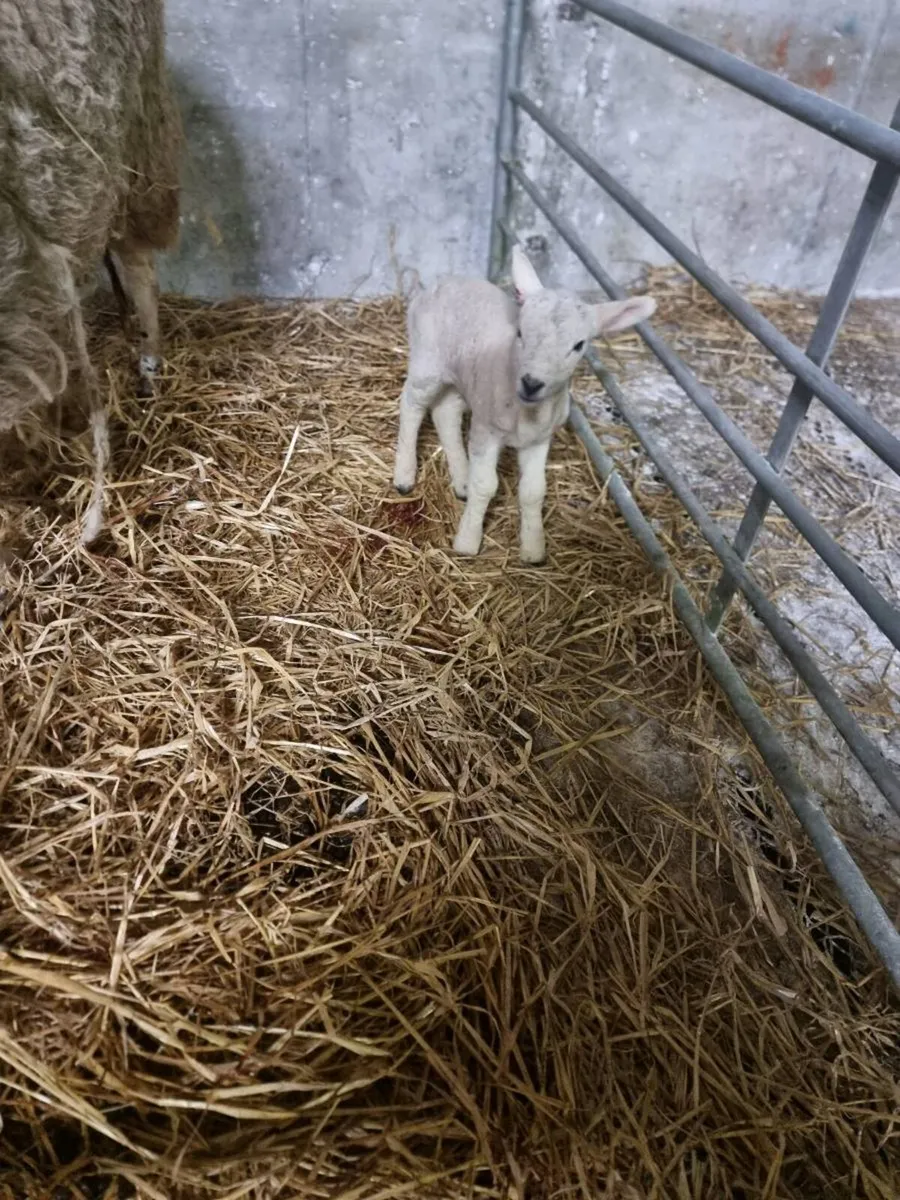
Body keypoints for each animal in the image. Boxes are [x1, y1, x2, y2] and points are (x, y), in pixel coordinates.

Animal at [393, 246, 656, 564]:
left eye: (579, 345)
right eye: (520, 332)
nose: (532, 383)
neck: (526, 413)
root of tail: (442, 282)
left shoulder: (540, 439)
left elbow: (533, 491)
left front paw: (533, 548)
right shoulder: (487, 430)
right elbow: (486, 485)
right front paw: (467, 541)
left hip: (463, 380)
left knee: (445, 412)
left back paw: (461, 478)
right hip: (427, 360)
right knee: (411, 404)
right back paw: (405, 474)